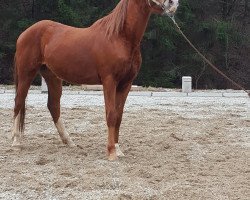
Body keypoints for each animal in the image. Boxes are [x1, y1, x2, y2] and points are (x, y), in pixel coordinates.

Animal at [12, 0, 179, 159]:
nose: (173, 3)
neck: (120, 37)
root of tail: (24, 33)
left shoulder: (126, 84)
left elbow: (118, 116)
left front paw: (118, 149)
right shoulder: (109, 81)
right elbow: (111, 114)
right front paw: (111, 152)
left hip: (52, 76)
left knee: (53, 106)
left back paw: (69, 141)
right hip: (26, 73)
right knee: (19, 102)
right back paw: (16, 142)